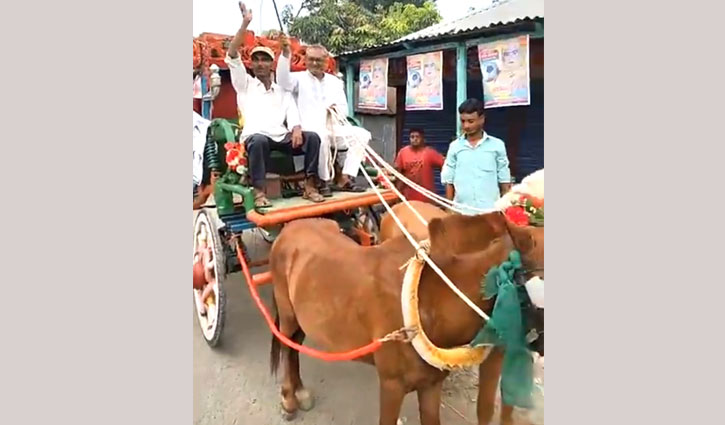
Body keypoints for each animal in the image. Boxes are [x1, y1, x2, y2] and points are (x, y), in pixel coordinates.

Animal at [268, 212, 540, 424]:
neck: (427, 302)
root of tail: (289, 228)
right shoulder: (391, 386)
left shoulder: (431, 384)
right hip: (288, 313)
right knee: (286, 344)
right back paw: (288, 399)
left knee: (295, 345)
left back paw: (300, 391)